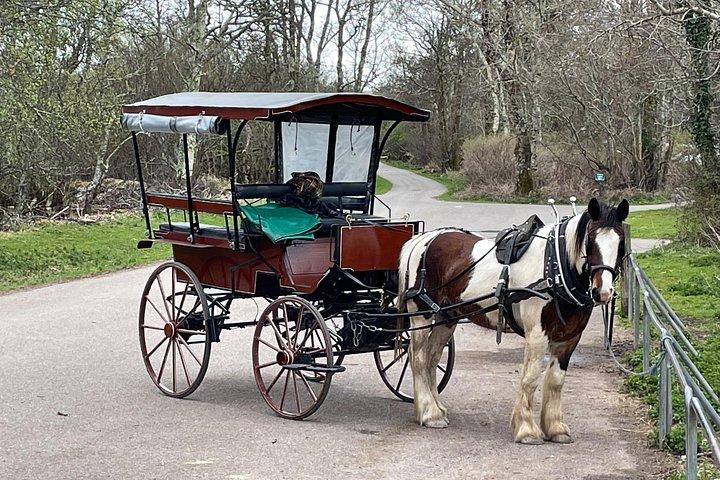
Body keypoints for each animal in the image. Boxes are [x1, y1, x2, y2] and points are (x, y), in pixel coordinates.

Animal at [397, 197, 629, 444]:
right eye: (591, 241)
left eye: (621, 242)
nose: (603, 292)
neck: (554, 267)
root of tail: (423, 240)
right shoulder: (537, 335)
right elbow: (531, 378)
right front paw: (526, 429)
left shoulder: (570, 338)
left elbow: (556, 380)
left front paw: (556, 428)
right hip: (420, 316)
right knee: (419, 359)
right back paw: (429, 413)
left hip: (446, 318)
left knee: (432, 359)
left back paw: (436, 408)